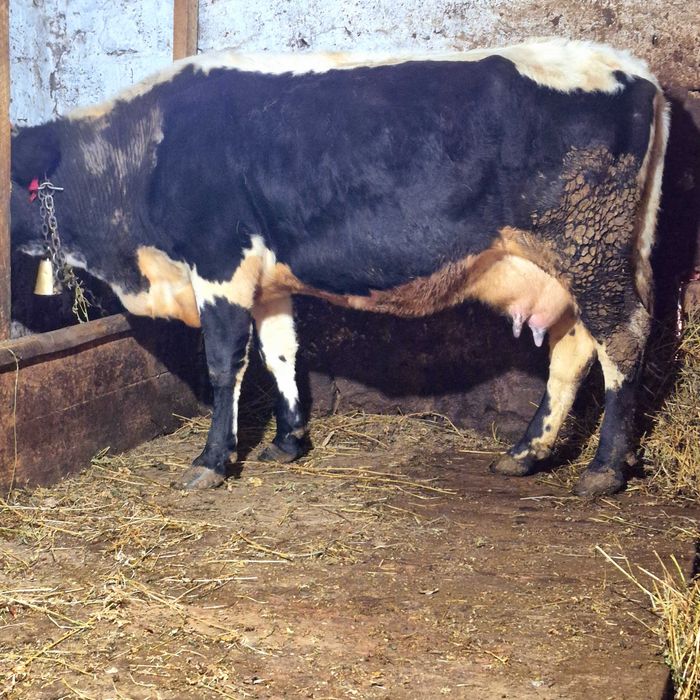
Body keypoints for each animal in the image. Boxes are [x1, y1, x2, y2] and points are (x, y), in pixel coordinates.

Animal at [9, 38, 669, 497]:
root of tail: (635, 71)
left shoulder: (219, 262)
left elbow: (224, 366)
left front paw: (212, 461)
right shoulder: (267, 280)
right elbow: (280, 353)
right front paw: (288, 442)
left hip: (589, 246)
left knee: (624, 339)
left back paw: (604, 469)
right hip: (576, 261)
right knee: (574, 347)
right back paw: (528, 453)